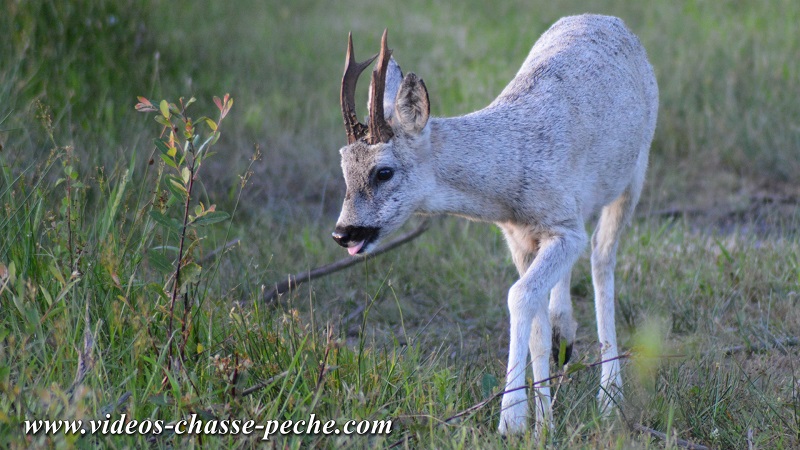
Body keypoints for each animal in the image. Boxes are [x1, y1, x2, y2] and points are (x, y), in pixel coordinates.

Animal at [330, 14, 656, 436]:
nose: (343, 232)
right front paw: (544, 425)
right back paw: (565, 337)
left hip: (635, 169)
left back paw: (610, 396)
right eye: (343, 167)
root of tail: (609, 19)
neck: (511, 176)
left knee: (602, 256)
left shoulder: (564, 227)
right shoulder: (519, 236)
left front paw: (512, 420)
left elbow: (519, 296)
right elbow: (534, 325)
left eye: (383, 172)